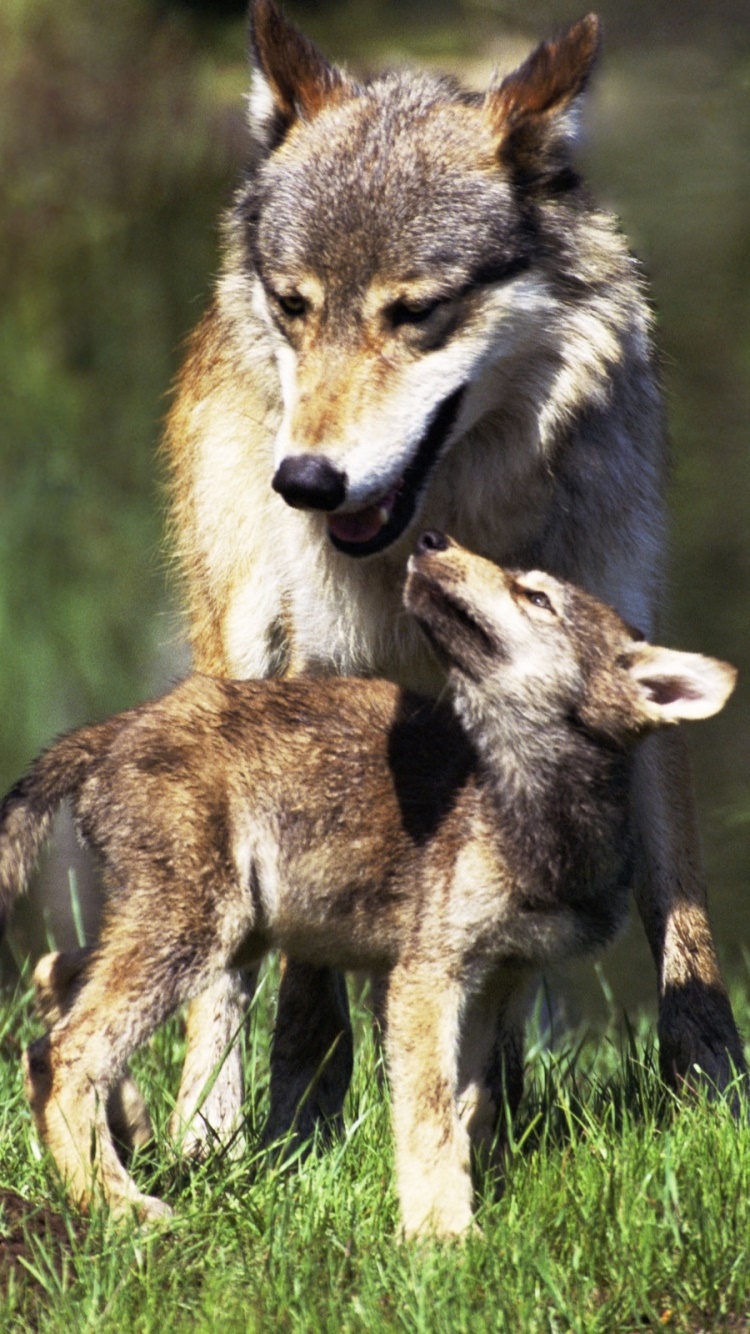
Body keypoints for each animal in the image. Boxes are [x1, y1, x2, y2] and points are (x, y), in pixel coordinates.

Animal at [4, 536, 736, 1233]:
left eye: (537, 597)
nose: (433, 540)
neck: (531, 811)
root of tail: (112, 728)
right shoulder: (424, 976)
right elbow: (430, 1118)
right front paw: (443, 1237)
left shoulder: (501, 978)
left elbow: (468, 1107)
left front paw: (451, 1206)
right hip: (199, 931)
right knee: (62, 1055)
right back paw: (117, 1204)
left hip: (219, 932)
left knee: (54, 978)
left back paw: (129, 1134)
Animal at [159, 0, 748, 1151]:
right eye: (296, 306)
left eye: (414, 311)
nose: (305, 480)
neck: (452, 523)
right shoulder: (322, 679)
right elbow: (302, 967)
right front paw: (299, 1116)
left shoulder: (631, 645)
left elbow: (683, 916)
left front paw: (713, 1096)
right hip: (245, 654)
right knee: (236, 963)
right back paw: (221, 1124)